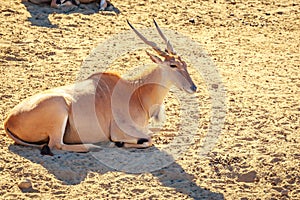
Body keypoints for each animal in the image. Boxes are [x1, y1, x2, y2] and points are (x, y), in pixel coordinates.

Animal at [4, 20, 197, 153]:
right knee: (56, 144)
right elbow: (148, 139)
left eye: (184, 64)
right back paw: (95, 146)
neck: (135, 92)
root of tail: (8, 120)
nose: (193, 87)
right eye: (173, 65)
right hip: (59, 110)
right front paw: (117, 143)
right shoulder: (121, 132)